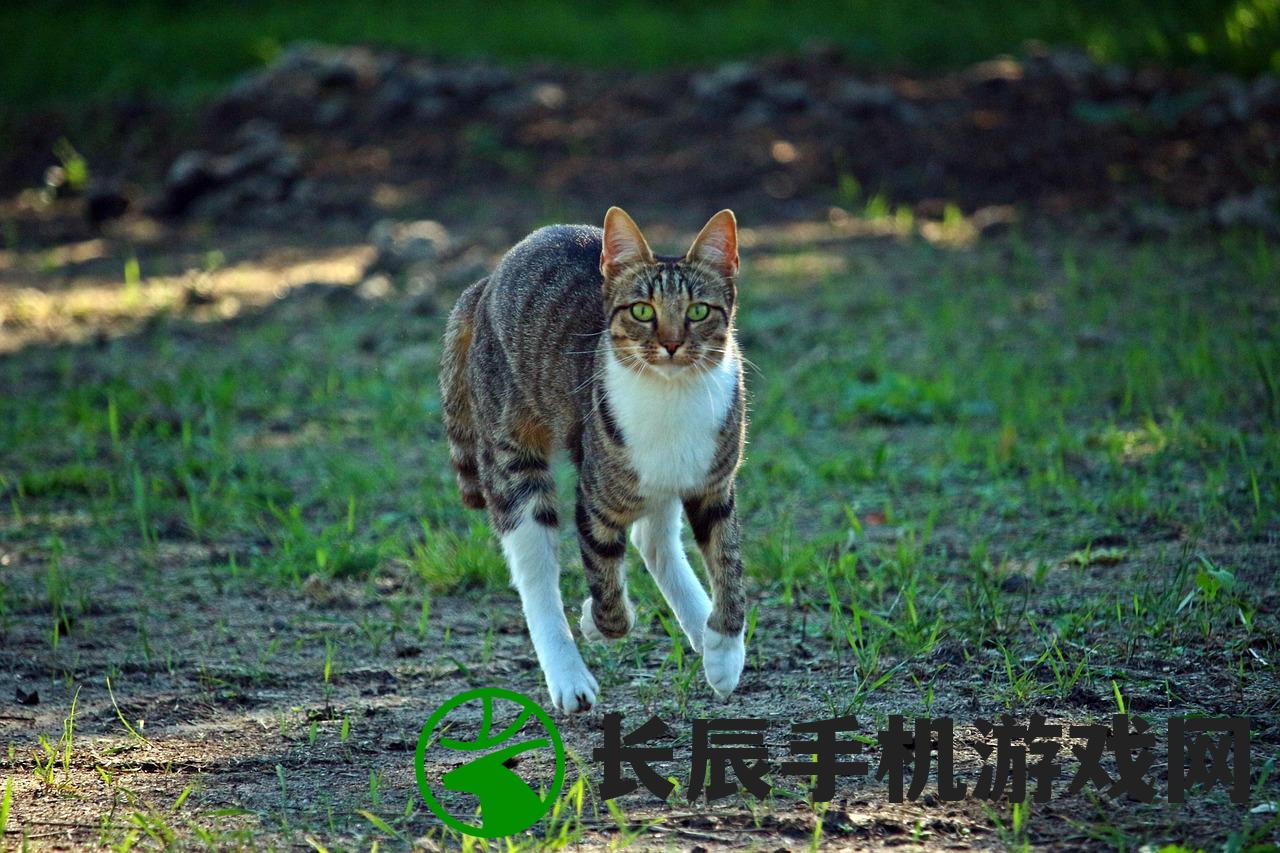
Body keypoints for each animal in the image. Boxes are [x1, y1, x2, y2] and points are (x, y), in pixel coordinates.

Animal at [440, 207, 747, 712]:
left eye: (698, 311)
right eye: (642, 311)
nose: (671, 344)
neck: (672, 399)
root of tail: (488, 280)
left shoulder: (714, 486)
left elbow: (729, 560)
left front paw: (724, 649)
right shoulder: (594, 500)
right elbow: (608, 596)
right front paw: (593, 618)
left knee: (652, 538)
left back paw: (700, 626)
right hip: (512, 456)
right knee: (536, 573)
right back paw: (568, 674)